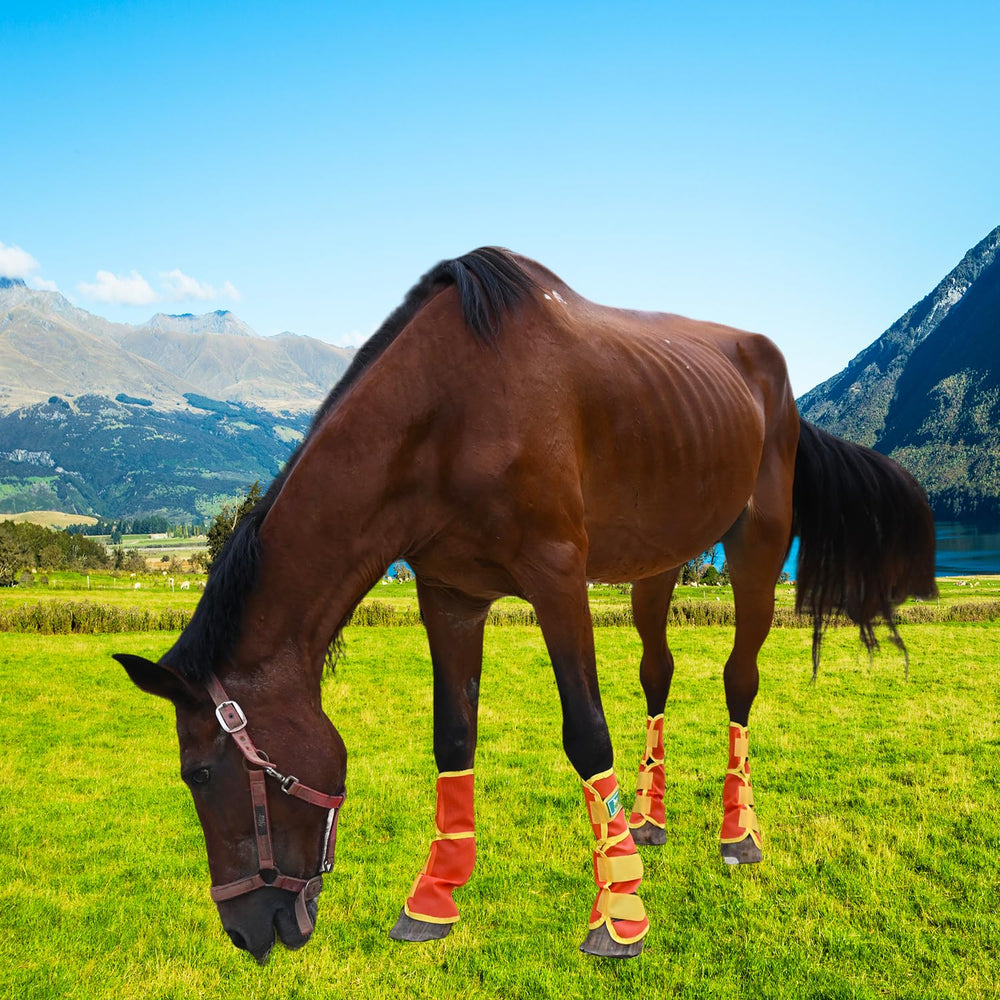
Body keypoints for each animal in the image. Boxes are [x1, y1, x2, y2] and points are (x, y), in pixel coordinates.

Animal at [114, 247, 936, 963]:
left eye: (200, 775)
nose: (245, 931)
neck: (449, 411)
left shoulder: (558, 579)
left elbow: (588, 736)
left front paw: (621, 912)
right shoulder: (450, 596)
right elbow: (453, 737)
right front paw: (434, 897)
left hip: (758, 545)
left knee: (740, 679)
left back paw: (738, 833)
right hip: (659, 560)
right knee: (659, 672)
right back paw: (650, 819)